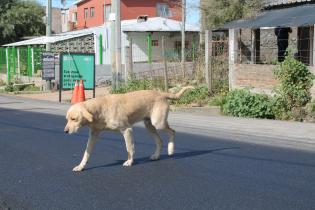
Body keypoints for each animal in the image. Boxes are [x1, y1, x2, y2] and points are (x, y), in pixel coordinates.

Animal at [64, 86, 193, 171]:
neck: (100, 109)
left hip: (158, 123)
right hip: (149, 125)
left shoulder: (126, 130)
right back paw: (156, 156)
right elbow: (86, 152)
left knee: (172, 132)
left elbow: (129, 148)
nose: (65, 131)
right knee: (160, 141)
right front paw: (81, 166)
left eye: (74, 119)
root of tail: (161, 93)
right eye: (67, 119)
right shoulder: (94, 134)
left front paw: (130, 161)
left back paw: (171, 150)